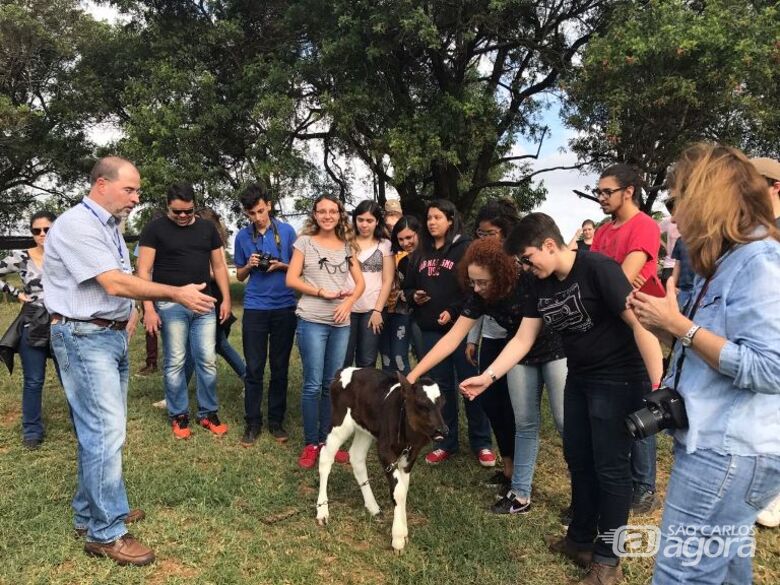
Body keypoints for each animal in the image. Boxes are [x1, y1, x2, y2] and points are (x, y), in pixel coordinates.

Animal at [316, 368, 448, 548]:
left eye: (443, 403)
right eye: (421, 404)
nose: (442, 430)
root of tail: (346, 371)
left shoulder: (410, 456)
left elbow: (403, 490)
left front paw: (403, 531)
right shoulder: (385, 451)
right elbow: (398, 491)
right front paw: (398, 538)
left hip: (364, 429)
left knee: (356, 457)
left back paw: (373, 507)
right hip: (339, 423)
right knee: (325, 457)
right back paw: (322, 510)